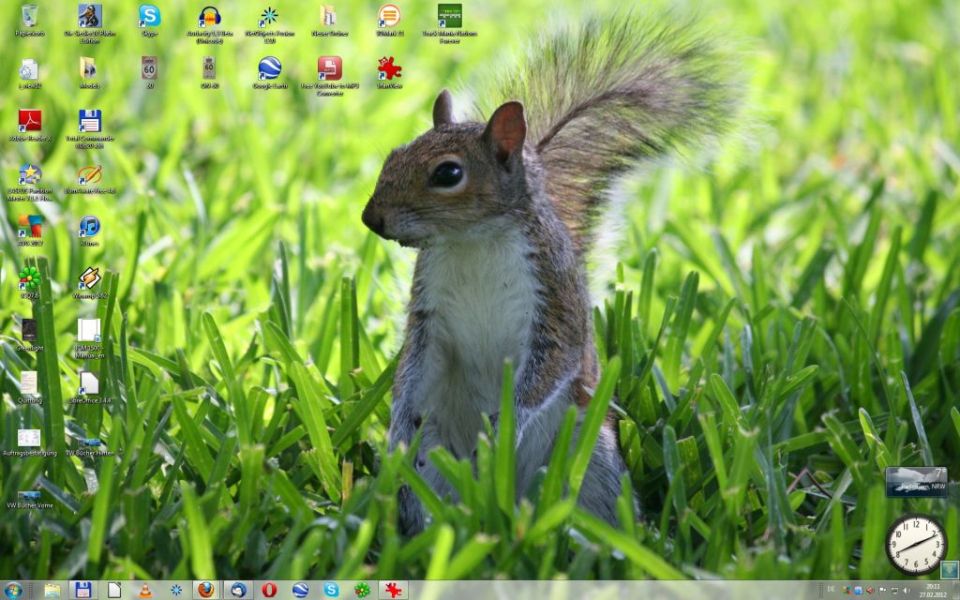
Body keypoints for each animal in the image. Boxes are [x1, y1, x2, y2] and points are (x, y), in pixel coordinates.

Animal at [362, 13, 736, 533]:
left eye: (448, 174)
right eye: (393, 156)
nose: (371, 219)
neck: (473, 241)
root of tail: (507, 505)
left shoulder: (553, 301)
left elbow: (549, 366)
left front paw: (503, 428)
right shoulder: (429, 315)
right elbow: (414, 365)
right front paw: (398, 424)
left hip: (593, 464)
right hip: (430, 467)